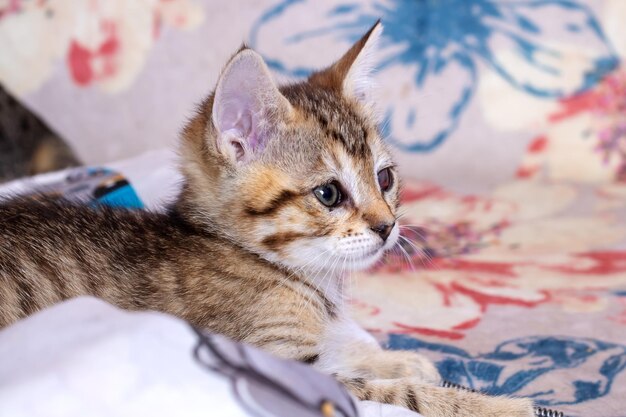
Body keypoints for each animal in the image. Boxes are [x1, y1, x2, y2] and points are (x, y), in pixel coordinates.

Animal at [0, 23, 532, 416]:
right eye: (329, 193)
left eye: (385, 178)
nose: (387, 227)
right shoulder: (278, 362)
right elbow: (388, 395)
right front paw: (496, 406)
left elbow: (352, 353)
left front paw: (398, 359)